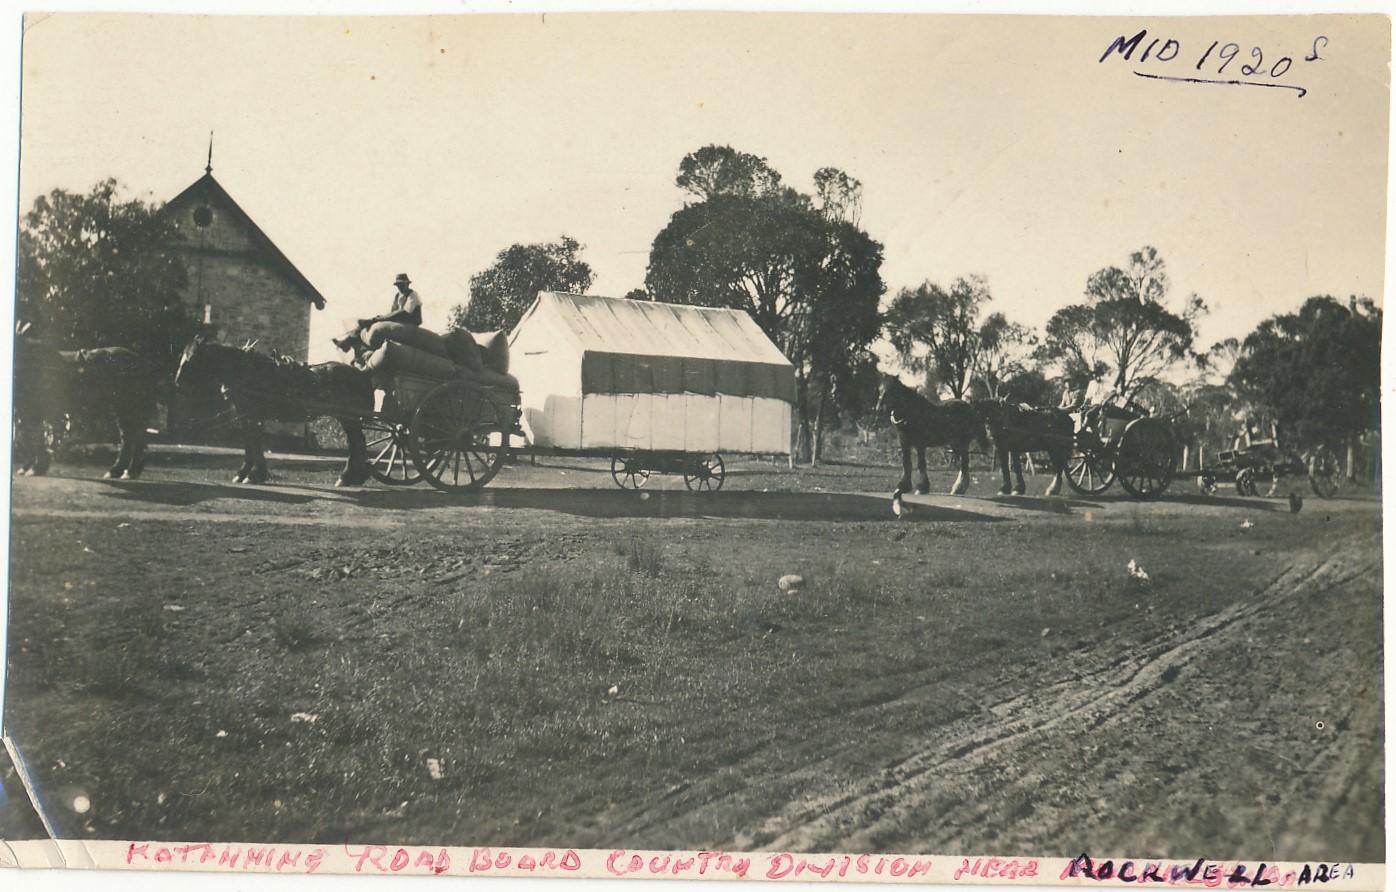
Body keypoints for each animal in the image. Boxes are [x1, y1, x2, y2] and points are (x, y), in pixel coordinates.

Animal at [12, 328, 159, 480]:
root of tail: (141, 362)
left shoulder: (32, 410)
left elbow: (33, 437)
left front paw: (36, 468)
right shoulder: (22, 410)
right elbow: (26, 436)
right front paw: (27, 467)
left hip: (129, 408)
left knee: (135, 438)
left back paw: (128, 472)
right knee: (130, 438)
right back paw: (119, 471)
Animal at [171, 336, 374, 488]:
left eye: (192, 358)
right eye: (182, 356)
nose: (177, 384)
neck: (248, 371)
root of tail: (360, 374)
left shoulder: (254, 415)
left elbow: (255, 441)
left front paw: (254, 474)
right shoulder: (244, 415)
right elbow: (249, 442)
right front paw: (244, 473)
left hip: (349, 417)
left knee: (357, 442)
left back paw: (348, 477)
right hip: (348, 418)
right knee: (356, 443)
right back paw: (355, 477)